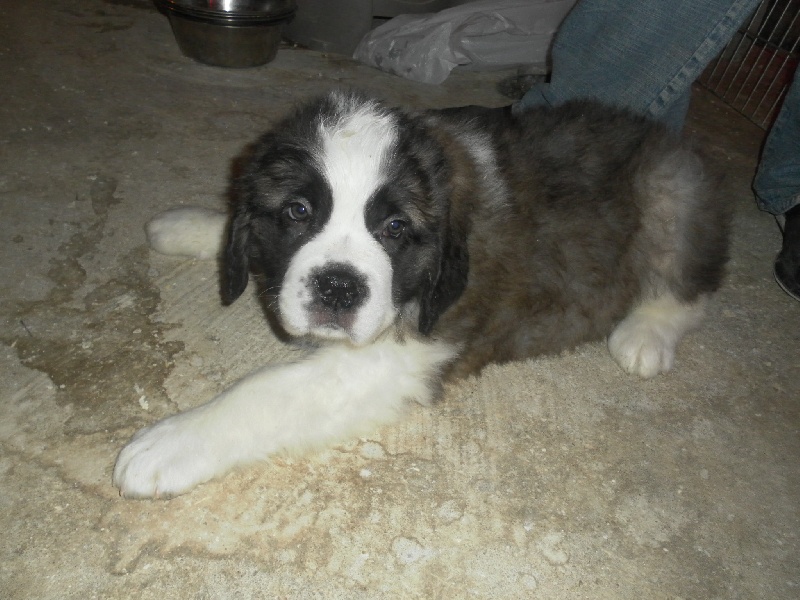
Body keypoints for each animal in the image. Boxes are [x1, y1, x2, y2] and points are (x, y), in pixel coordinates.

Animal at [113, 90, 728, 498]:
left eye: (395, 228)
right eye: (298, 211)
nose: (339, 286)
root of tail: (669, 138)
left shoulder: (395, 360)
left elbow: (266, 392)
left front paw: (168, 444)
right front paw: (192, 225)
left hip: (671, 191)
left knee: (691, 283)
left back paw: (645, 335)